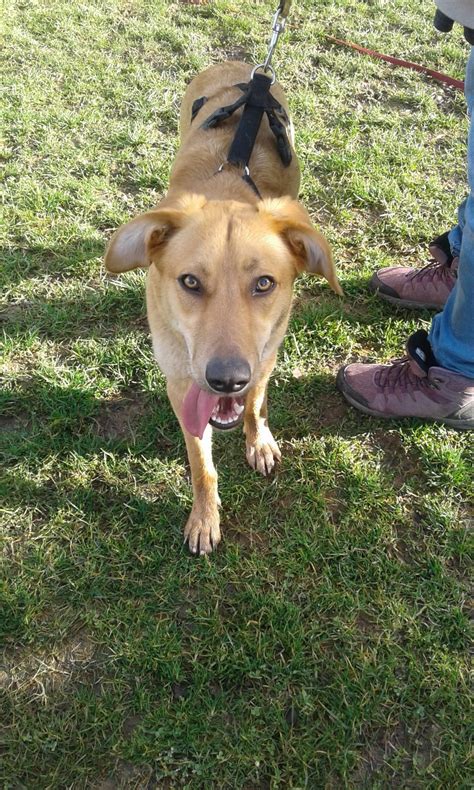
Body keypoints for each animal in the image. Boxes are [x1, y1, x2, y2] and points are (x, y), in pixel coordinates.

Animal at [104, 62, 340, 556]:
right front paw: (204, 517)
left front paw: (259, 441)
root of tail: (243, 67)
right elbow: (201, 464)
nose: (226, 379)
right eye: (190, 282)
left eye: (264, 283)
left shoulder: (266, 356)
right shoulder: (180, 383)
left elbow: (254, 403)